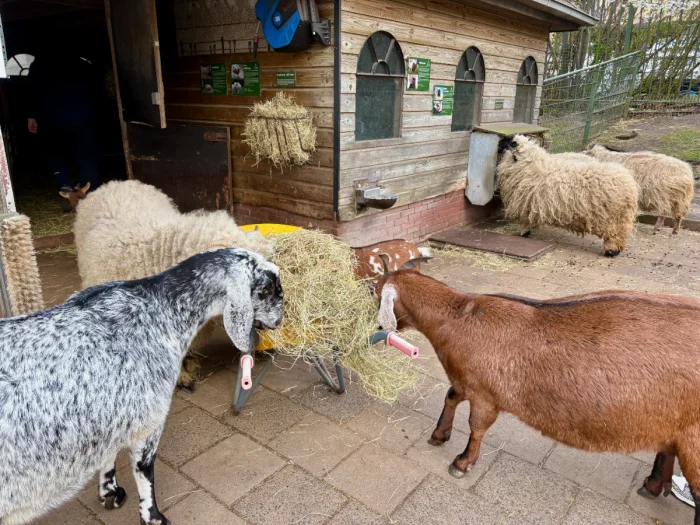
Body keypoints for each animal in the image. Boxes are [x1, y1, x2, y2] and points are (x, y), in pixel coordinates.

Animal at [0, 248, 283, 525]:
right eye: (268, 288)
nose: (279, 320)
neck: (161, 311)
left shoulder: (112, 418)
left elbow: (108, 455)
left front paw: (110, 493)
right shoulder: (148, 422)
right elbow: (144, 472)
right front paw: (153, 517)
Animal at [376, 254, 700, 521]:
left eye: (376, 290)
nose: (374, 323)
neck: (458, 317)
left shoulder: (484, 393)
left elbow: (477, 425)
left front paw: (462, 462)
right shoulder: (466, 380)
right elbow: (452, 396)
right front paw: (439, 434)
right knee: (666, 448)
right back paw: (653, 485)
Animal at [497, 135, 639, 257]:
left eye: (510, 142)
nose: (498, 142)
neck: (529, 165)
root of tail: (630, 185)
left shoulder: (525, 203)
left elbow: (525, 222)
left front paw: (524, 233)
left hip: (613, 218)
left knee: (614, 235)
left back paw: (611, 252)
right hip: (621, 217)